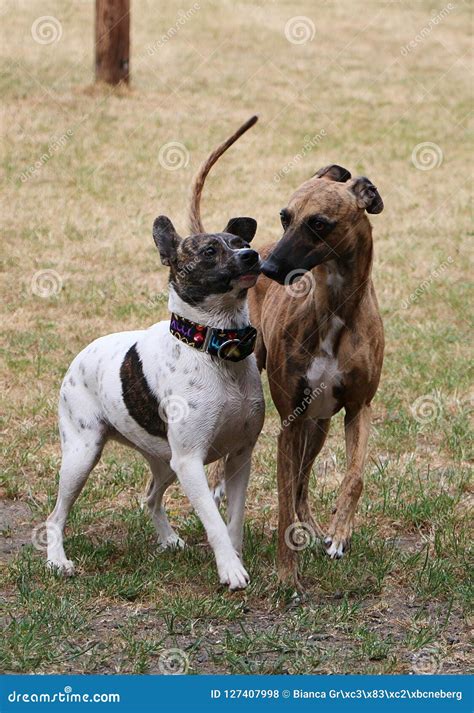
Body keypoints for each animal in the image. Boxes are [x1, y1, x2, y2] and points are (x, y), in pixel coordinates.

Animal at [46, 118, 264, 588]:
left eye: (240, 239)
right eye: (209, 250)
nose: (252, 253)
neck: (215, 346)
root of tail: (82, 353)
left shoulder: (238, 457)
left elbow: (233, 520)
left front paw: (236, 558)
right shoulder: (192, 462)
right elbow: (214, 521)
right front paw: (229, 569)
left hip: (164, 461)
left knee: (149, 497)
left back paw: (167, 539)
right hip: (82, 454)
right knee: (56, 515)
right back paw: (57, 560)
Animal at [252, 164, 386, 588]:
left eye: (319, 223)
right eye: (285, 216)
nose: (266, 270)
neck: (335, 309)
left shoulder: (359, 408)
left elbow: (355, 477)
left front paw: (339, 533)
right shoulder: (289, 423)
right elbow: (281, 503)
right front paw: (286, 577)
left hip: (319, 427)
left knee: (302, 484)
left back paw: (310, 525)